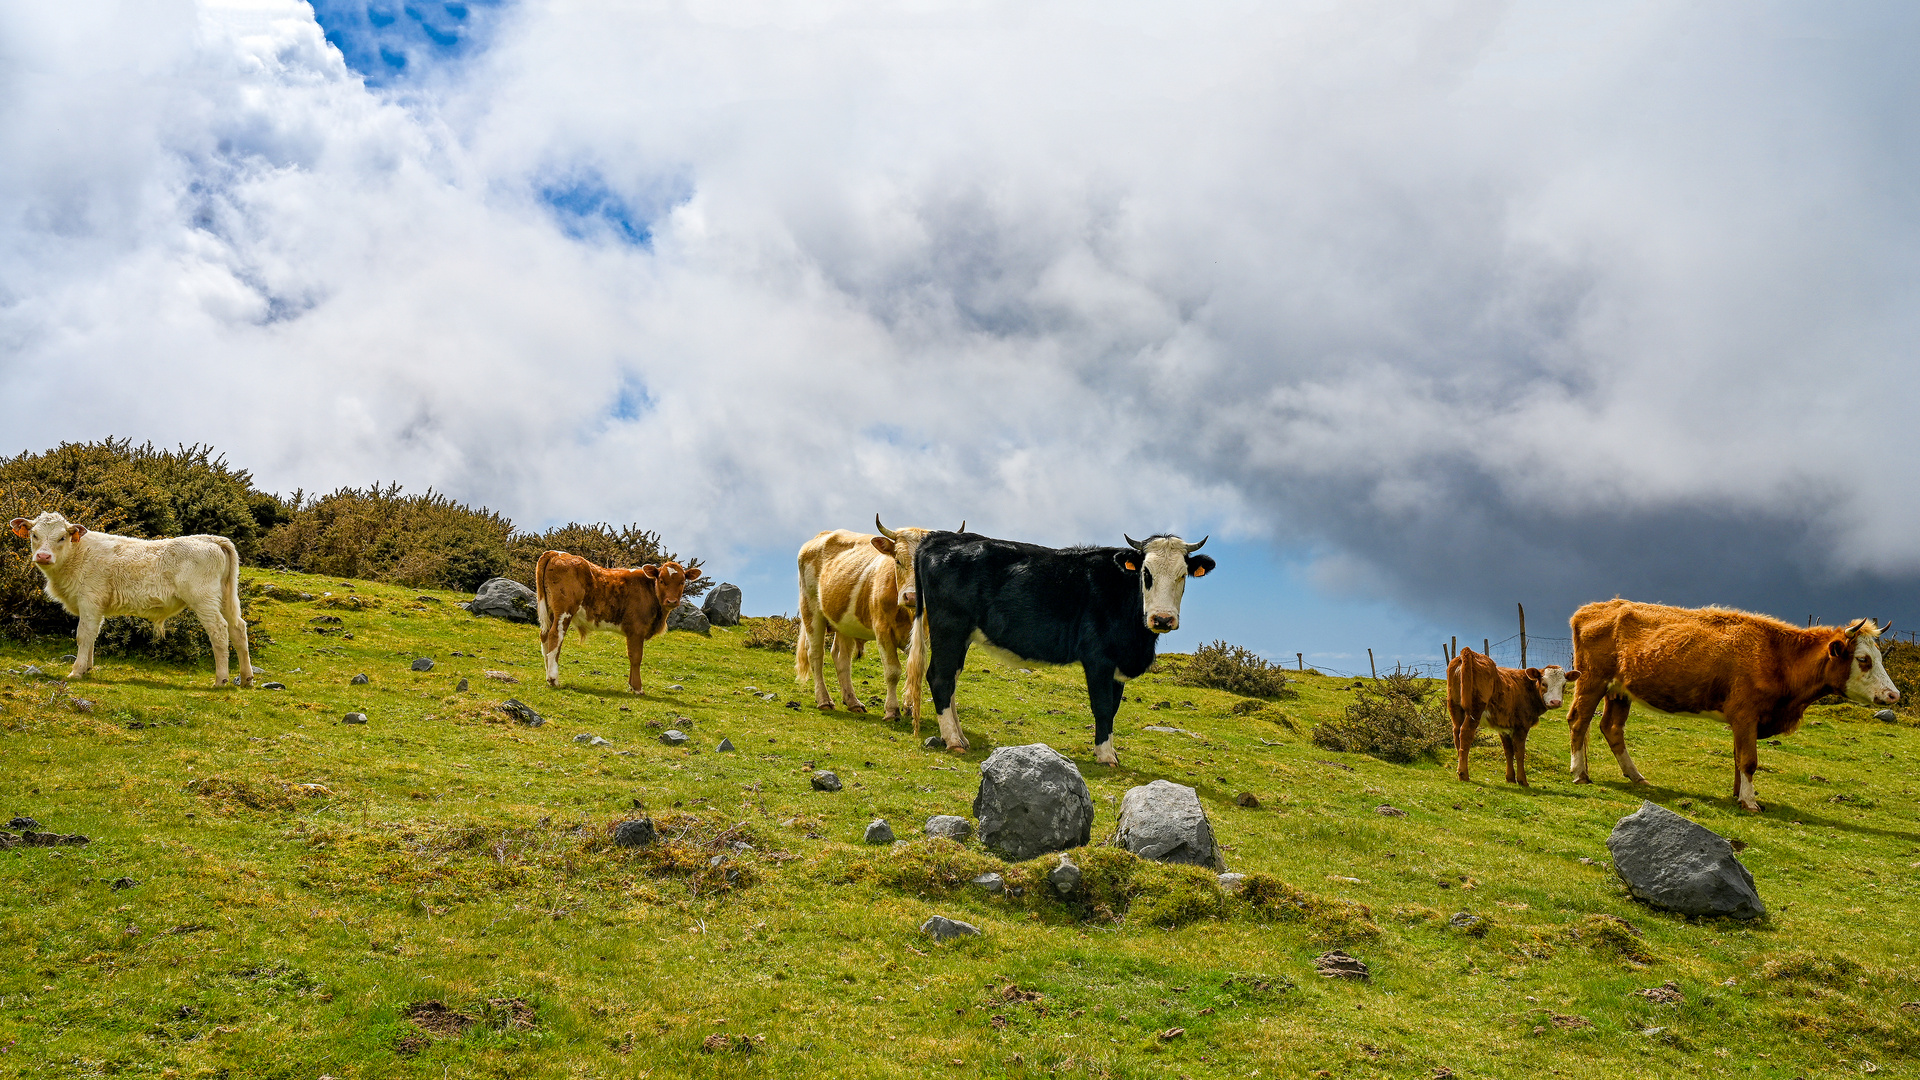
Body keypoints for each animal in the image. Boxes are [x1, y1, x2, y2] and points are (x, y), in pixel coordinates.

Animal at [12, 511, 255, 680]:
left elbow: (83, 635)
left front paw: (77, 671)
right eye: (34, 535)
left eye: (62, 537)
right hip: (226, 597)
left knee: (219, 630)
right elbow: (92, 635)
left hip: (203, 599)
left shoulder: (89, 600)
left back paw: (221, 679)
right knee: (238, 628)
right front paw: (88, 668)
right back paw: (246, 679)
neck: (76, 555)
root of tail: (209, 538)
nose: (43, 556)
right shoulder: (95, 607)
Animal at [529, 549, 702, 691]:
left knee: (545, 636)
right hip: (564, 610)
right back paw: (553, 679)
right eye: (661, 580)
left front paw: (632, 685)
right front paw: (637, 688)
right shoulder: (636, 629)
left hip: (550, 611)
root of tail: (557, 553)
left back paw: (548, 676)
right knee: (555, 636)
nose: (672, 601)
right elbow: (636, 657)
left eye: (682, 581)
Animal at [913, 526, 1213, 760]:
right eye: (1146, 574)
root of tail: (941, 537)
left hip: (962, 636)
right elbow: (1103, 707)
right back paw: (953, 740)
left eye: (1182, 575)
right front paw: (1106, 756)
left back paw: (960, 736)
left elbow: (1113, 709)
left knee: (951, 679)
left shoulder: (1117, 665)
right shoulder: (1098, 660)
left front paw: (1110, 751)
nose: (1162, 619)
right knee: (939, 678)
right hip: (949, 628)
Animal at [1443, 641, 1574, 787]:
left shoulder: (1504, 726)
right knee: (1465, 733)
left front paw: (1510, 778)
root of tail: (1470, 653)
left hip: (1454, 706)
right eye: (1544, 683)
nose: (1556, 702)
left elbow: (1508, 752)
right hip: (1475, 709)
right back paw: (1464, 774)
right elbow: (1519, 752)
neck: (1527, 689)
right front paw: (1522, 780)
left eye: (1564, 685)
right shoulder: (1522, 725)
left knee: (1456, 733)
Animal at [1566, 595, 1896, 807]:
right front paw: (1749, 802)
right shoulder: (1746, 715)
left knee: (1611, 728)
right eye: (1863, 659)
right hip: (1591, 680)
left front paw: (1738, 795)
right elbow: (1749, 760)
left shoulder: (1742, 721)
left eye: (1880, 656)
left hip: (1619, 691)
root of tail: (1590, 609)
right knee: (1578, 720)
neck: (1777, 656)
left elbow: (1738, 758)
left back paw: (1635, 777)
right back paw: (1580, 773)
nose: (1894, 695)